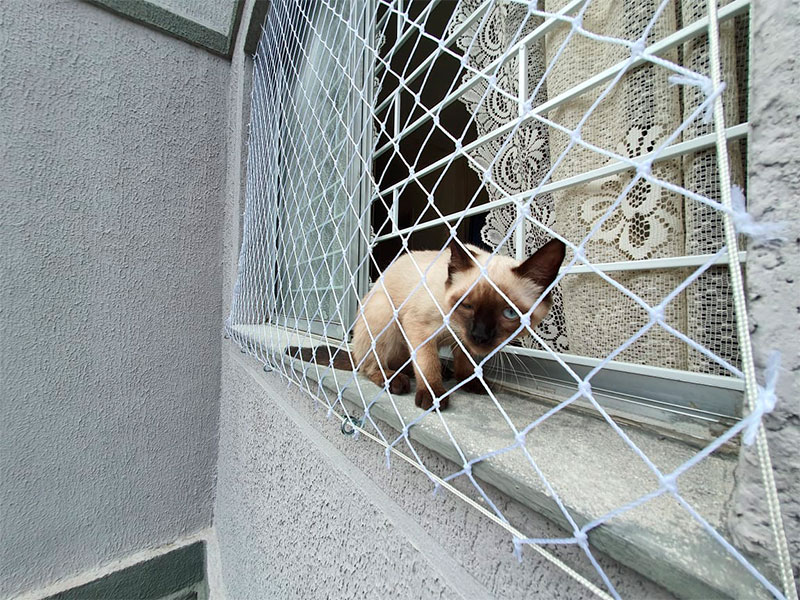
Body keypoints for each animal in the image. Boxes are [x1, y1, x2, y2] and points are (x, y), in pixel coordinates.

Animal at [290, 237, 564, 410]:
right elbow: (427, 362)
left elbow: (466, 363)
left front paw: (470, 382)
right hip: (384, 312)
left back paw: (434, 372)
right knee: (368, 365)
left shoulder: (461, 340)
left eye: (509, 313)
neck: (456, 327)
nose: (480, 336)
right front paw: (433, 394)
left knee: (401, 362)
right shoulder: (419, 328)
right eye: (466, 305)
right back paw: (396, 380)